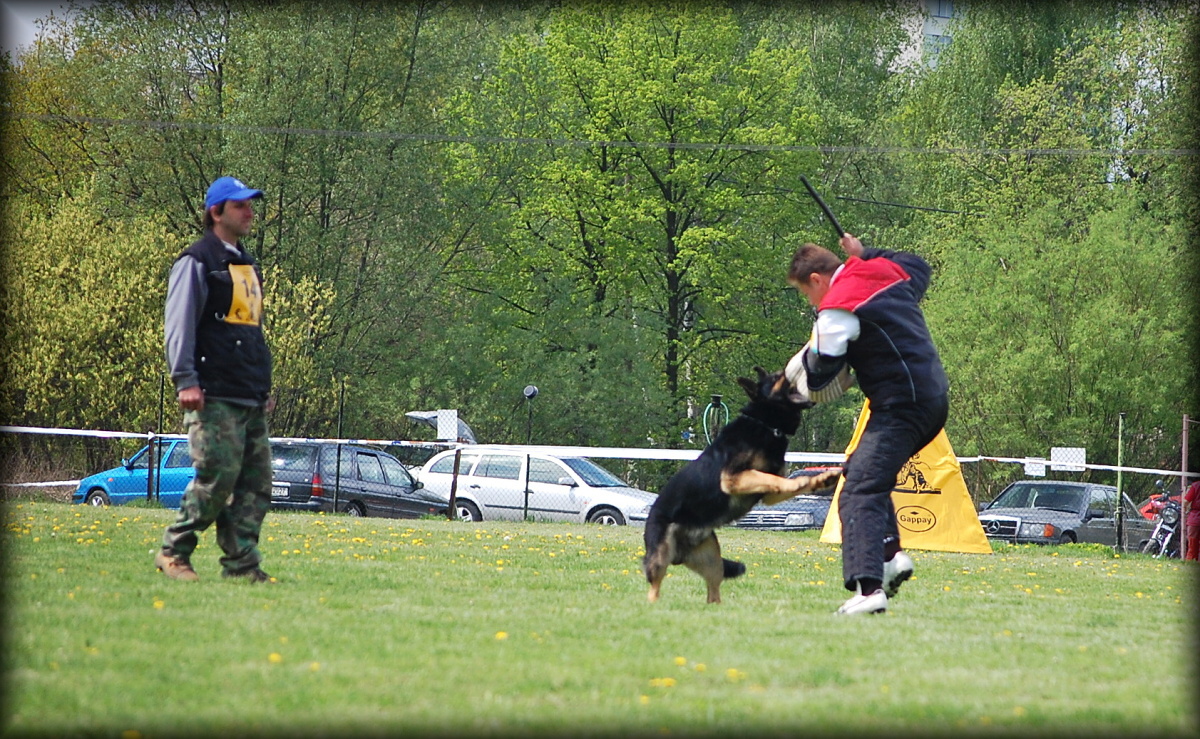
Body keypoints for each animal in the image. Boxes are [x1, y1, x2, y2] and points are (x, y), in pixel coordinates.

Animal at [643, 367, 840, 602]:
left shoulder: (768, 494)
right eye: (777, 376)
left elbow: (783, 483)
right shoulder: (733, 478)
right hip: (659, 558)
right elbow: (776, 480)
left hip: (712, 562)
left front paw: (821, 479)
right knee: (654, 588)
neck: (766, 425)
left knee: (713, 591)